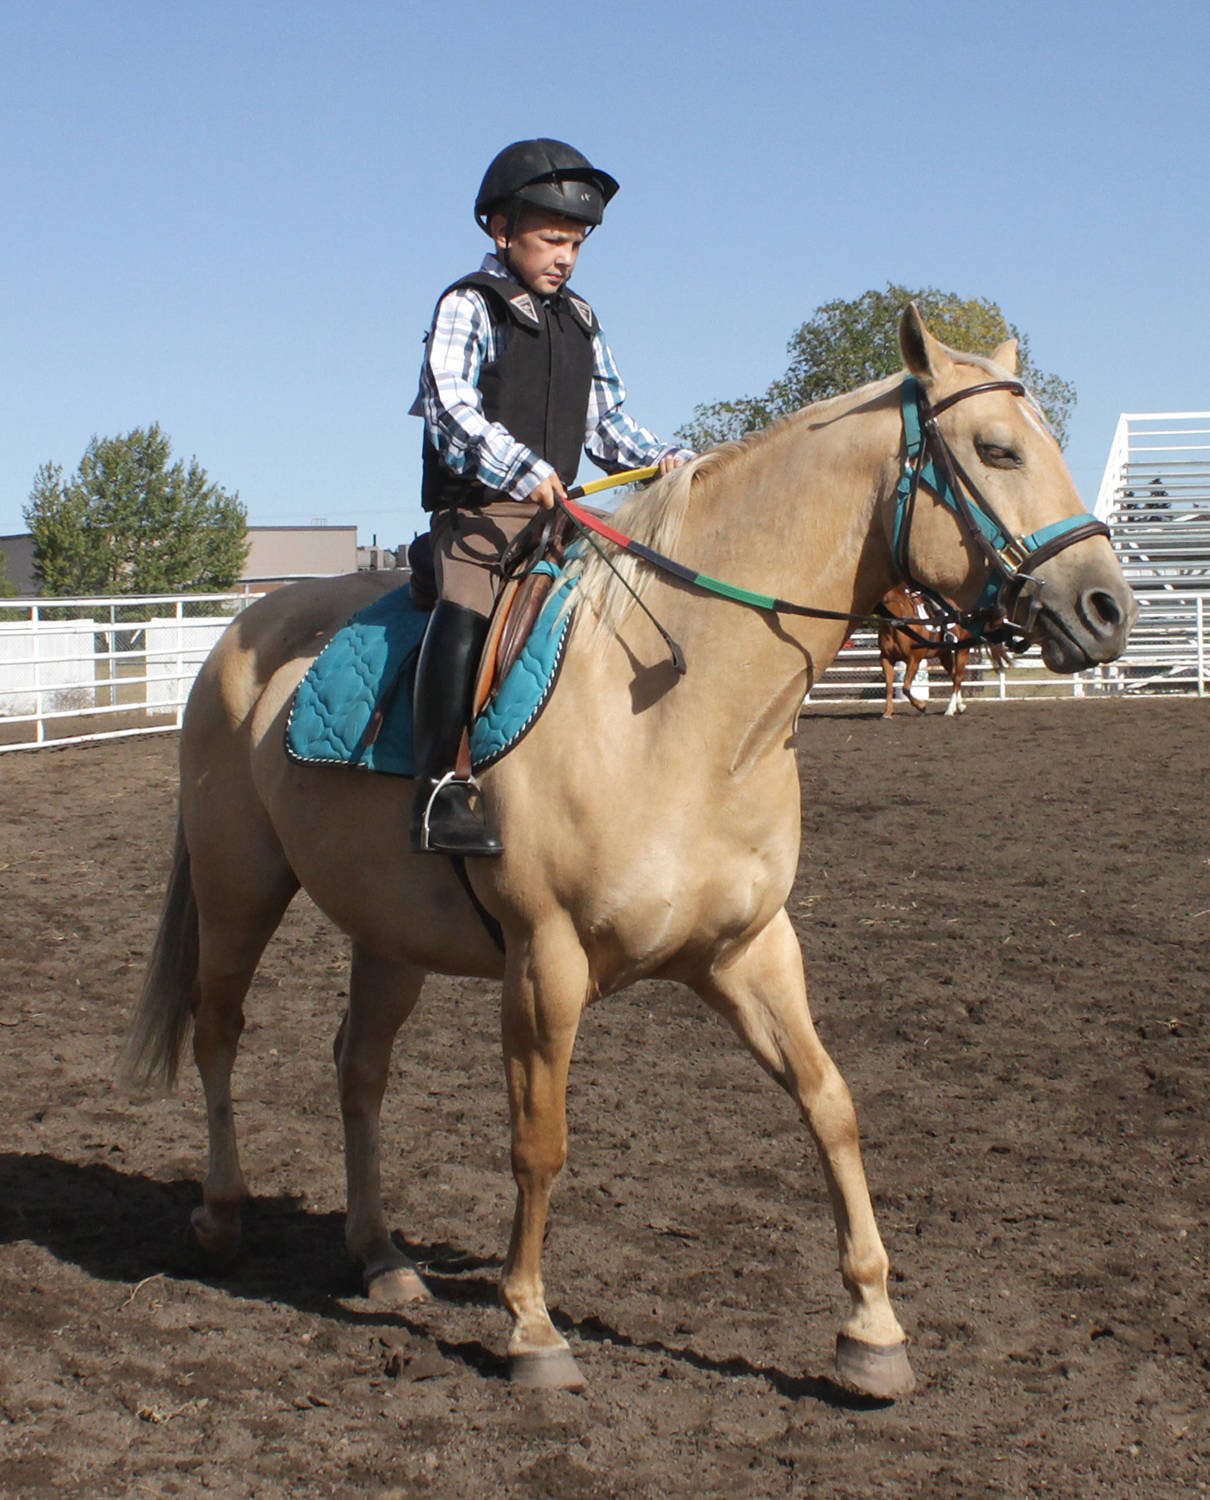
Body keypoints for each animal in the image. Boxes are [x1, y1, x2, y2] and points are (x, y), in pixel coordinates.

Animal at [876, 584, 1011, 718]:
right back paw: (960, 706)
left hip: (962, 651)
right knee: (954, 677)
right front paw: (887, 713)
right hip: (944, 655)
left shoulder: (914, 660)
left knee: (958, 678)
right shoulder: (886, 659)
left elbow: (905, 687)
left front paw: (921, 706)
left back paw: (950, 709)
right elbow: (889, 686)